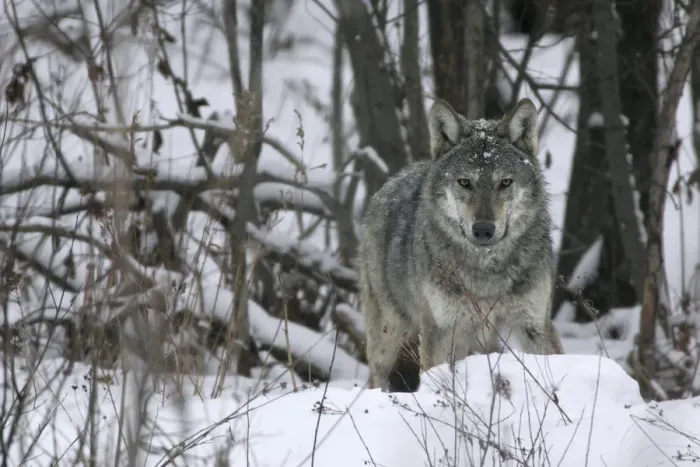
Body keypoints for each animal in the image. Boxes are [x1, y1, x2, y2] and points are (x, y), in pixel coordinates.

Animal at [357, 97, 564, 391]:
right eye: (465, 182)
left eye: (505, 183)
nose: (484, 230)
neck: (486, 273)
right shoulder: (441, 330)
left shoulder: (534, 324)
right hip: (389, 337)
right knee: (376, 377)